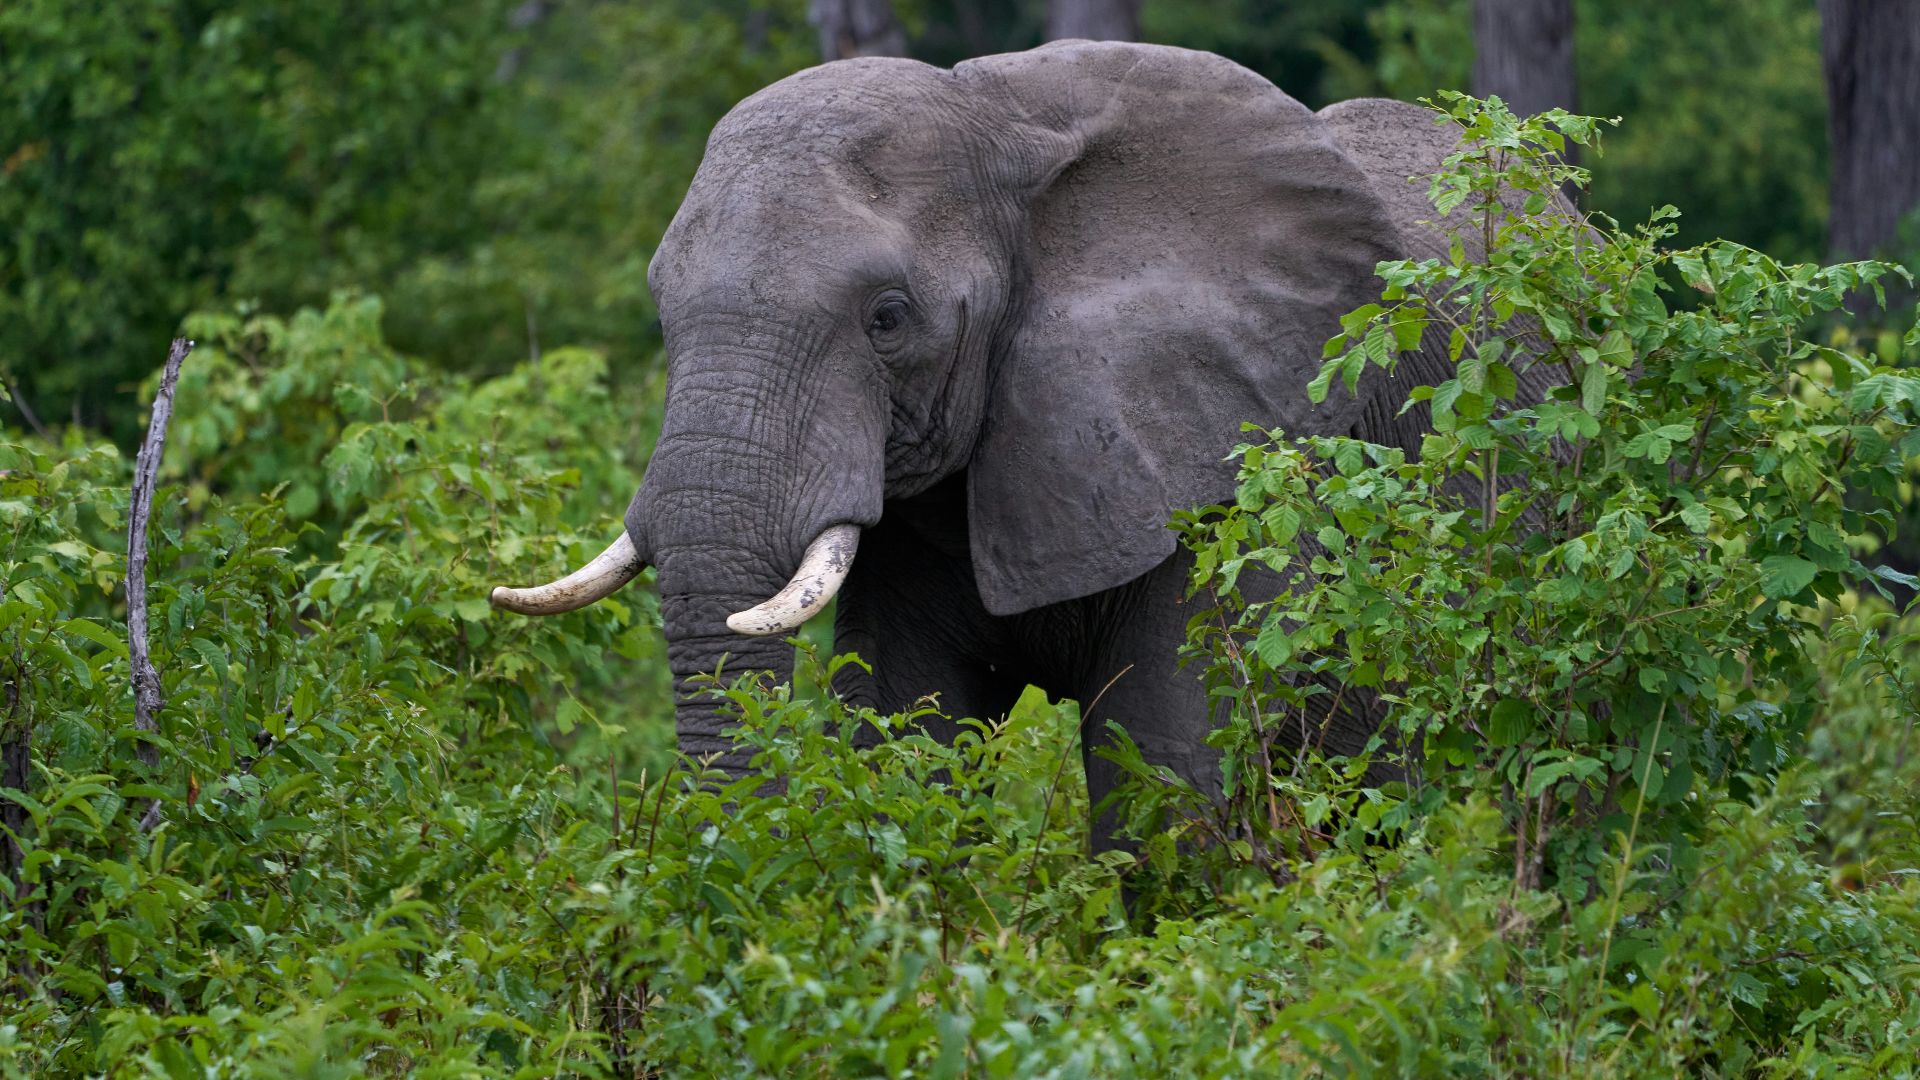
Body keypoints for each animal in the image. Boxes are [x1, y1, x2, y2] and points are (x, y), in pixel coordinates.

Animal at [489, 40, 1551, 843]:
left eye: (887, 319)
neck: (1003, 123)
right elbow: (905, 739)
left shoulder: (1236, 472)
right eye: (660, 309)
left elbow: (1162, 779)